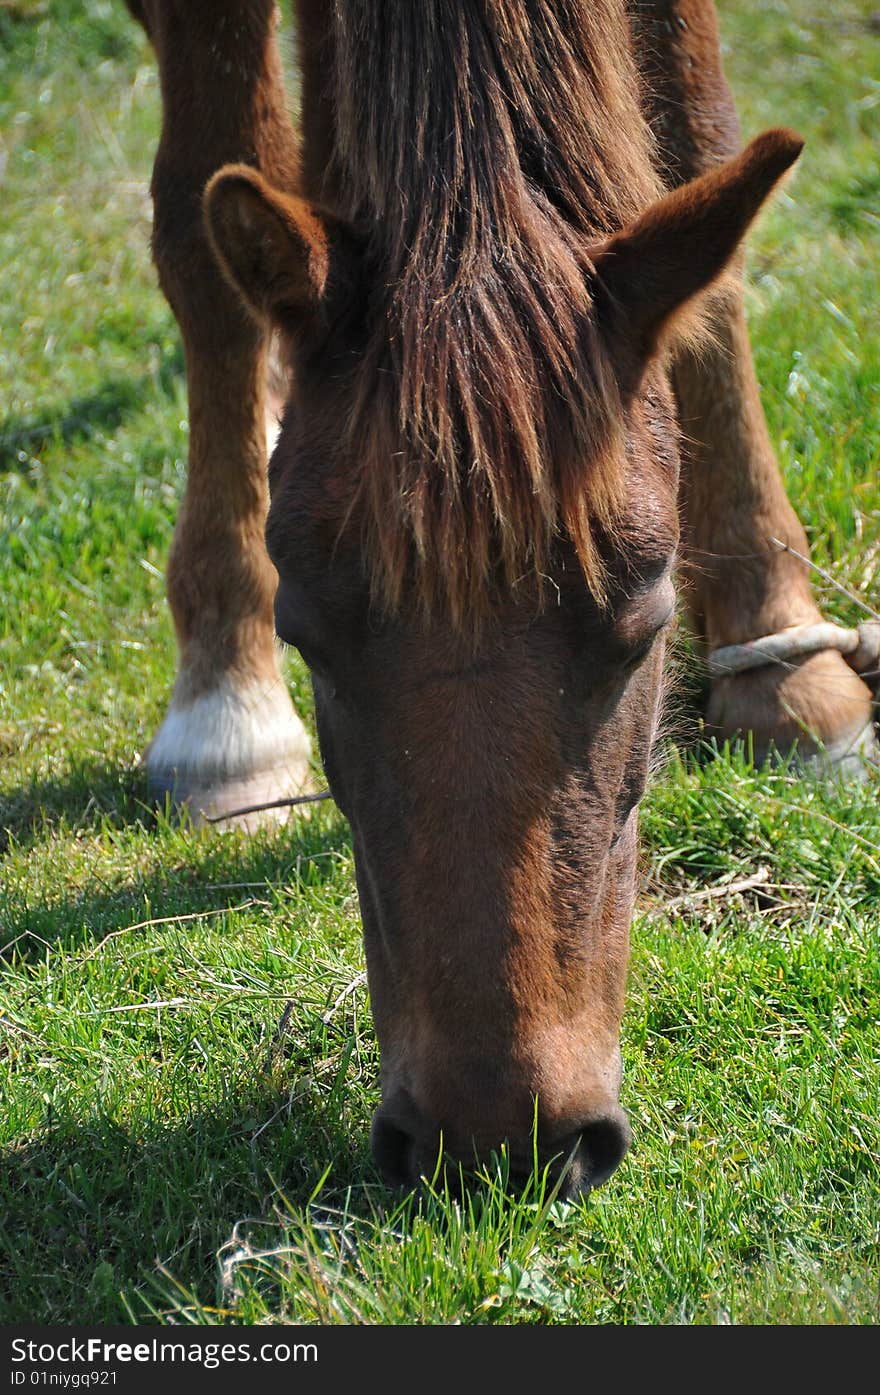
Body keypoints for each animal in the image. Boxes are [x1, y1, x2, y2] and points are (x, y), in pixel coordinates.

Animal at [127, 2, 875, 1199]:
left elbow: (698, 145)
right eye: (305, 637)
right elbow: (202, 231)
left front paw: (781, 649)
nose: (496, 1143)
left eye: (647, 629)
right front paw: (224, 704)